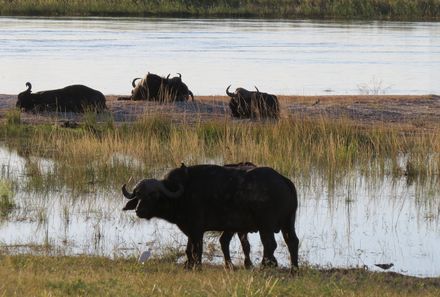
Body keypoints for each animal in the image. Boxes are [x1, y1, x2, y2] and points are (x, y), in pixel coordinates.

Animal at [122, 162, 298, 270]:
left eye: (152, 195)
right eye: (138, 195)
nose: (138, 211)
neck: (183, 192)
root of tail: (283, 180)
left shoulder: (197, 228)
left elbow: (196, 248)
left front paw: (197, 266)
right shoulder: (190, 229)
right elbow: (189, 248)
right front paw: (188, 265)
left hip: (265, 225)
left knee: (270, 244)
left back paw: (265, 265)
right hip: (288, 223)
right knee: (292, 242)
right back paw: (294, 268)